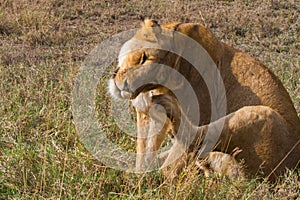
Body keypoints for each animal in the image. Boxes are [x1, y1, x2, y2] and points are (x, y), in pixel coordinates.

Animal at [108, 19, 300, 180]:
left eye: (144, 58)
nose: (124, 86)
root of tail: (293, 167)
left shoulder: (198, 112)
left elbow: (172, 163)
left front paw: (159, 182)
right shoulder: (147, 114)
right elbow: (145, 150)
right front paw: (139, 176)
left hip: (259, 114)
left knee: (191, 135)